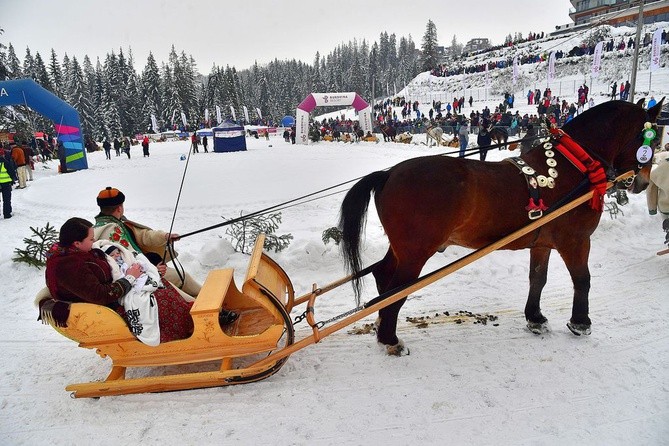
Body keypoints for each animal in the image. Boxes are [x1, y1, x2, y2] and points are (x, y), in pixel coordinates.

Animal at [336, 98, 660, 356]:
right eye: (653, 140)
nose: (642, 183)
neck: (575, 166)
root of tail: (388, 173)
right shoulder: (576, 241)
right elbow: (583, 279)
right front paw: (580, 323)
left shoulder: (542, 242)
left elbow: (537, 279)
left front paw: (535, 318)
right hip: (415, 253)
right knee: (396, 290)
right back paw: (390, 339)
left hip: (403, 249)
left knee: (383, 275)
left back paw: (382, 325)